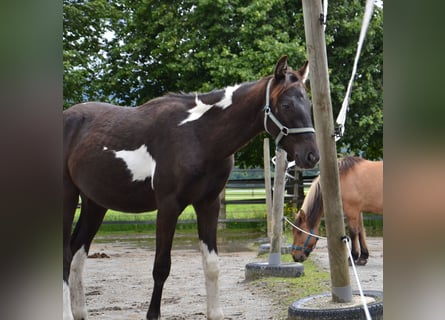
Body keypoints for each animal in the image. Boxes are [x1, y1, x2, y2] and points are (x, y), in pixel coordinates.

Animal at [63, 56, 320, 318]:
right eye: (286, 105)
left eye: (308, 103)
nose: (312, 156)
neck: (199, 136)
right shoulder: (168, 207)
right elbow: (161, 266)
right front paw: (153, 314)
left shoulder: (208, 204)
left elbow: (212, 264)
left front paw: (216, 313)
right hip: (68, 198)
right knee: (65, 254)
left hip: (95, 203)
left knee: (76, 253)